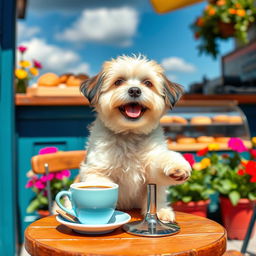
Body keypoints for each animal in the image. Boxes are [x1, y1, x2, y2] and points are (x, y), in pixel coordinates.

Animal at [79, 54, 191, 222]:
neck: (129, 133)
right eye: (118, 82)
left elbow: (160, 172)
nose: (134, 90)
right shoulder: (96, 170)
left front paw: (177, 167)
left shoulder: (152, 167)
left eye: (148, 83)